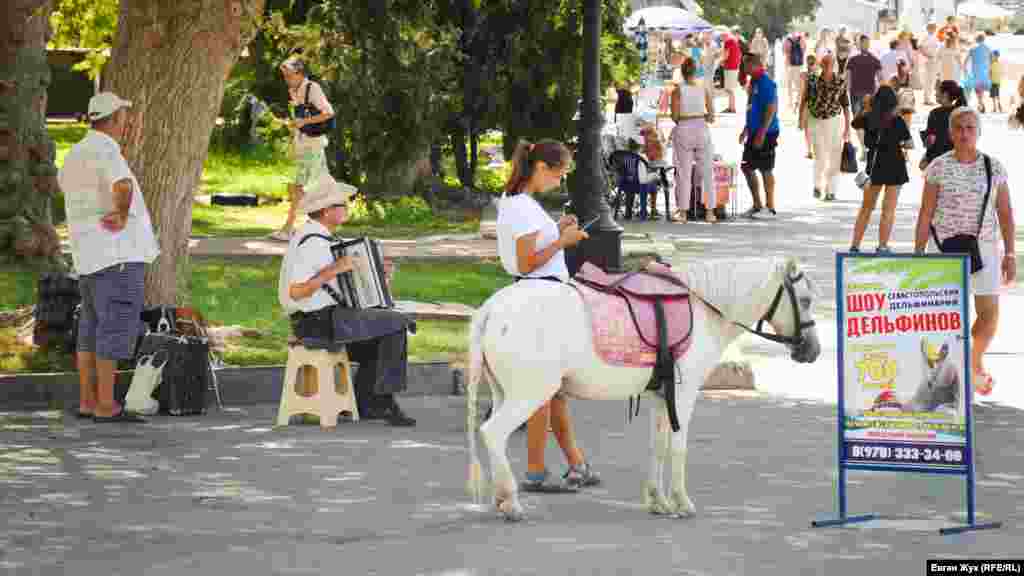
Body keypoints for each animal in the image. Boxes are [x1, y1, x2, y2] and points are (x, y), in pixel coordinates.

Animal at [468, 256, 819, 520]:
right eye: (805, 300)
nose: (812, 350)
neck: (703, 309)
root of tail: (492, 309)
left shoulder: (662, 396)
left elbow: (658, 446)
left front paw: (657, 501)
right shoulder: (684, 395)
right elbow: (678, 448)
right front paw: (681, 502)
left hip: (504, 393)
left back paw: (502, 499)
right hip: (529, 395)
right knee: (493, 433)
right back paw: (510, 502)